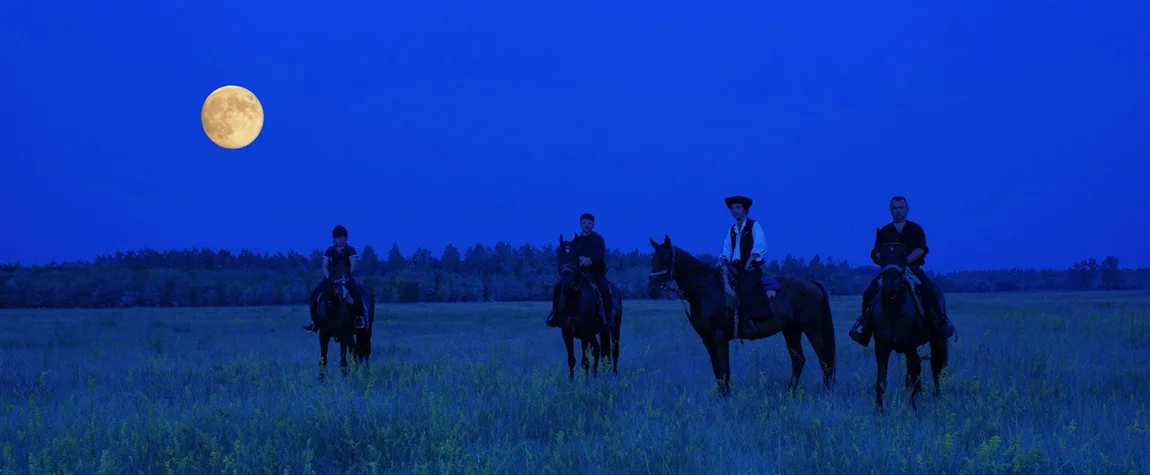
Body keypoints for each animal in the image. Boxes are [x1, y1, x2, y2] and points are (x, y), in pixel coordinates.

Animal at [554, 231, 625, 379]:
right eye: (559, 255)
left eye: (575, 255)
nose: (566, 283)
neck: (573, 300)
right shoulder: (567, 333)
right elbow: (571, 360)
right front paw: (572, 381)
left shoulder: (585, 332)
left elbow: (585, 361)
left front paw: (586, 382)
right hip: (601, 331)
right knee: (600, 349)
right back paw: (597, 373)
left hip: (615, 327)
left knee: (614, 351)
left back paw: (613, 375)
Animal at [648, 235, 837, 395]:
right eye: (652, 260)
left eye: (665, 259)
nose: (651, 289)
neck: (705, 289)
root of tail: (811, 283)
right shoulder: (707, 339)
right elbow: (717, 371)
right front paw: (721, 398)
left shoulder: (720, 337)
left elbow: (724, 371)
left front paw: (726, 399)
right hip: (791, 331)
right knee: (798, 360)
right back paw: (790, 393)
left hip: (813, 329)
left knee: (824, 360)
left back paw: (825, 393)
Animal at [864, 230, 947, 411]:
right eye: (883, 254)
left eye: (903, 254)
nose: (892, 283)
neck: (893, 309)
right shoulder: (881, 348)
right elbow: (881, 382)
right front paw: (879, 411)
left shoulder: (910, 347)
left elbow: (913, 379)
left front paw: (914, 409)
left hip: (938, 341)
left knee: (936, 367)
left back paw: (937, 396)